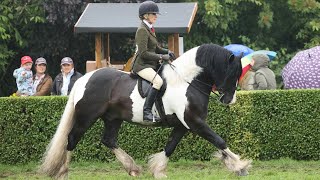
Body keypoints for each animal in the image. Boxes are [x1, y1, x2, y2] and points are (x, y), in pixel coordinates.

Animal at [40, 43, 251, 179]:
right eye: (232, 73)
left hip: (113, 118)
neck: (185, 81)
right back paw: (63, 172)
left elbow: (170, 146)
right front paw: (240, 165)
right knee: (72, 139)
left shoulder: (183, 125)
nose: (229, 100)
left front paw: (158, 170)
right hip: (86, 117)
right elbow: (219, 140)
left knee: (108, 140)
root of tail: (84, 79)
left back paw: (132, 168)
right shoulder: (195, 122)